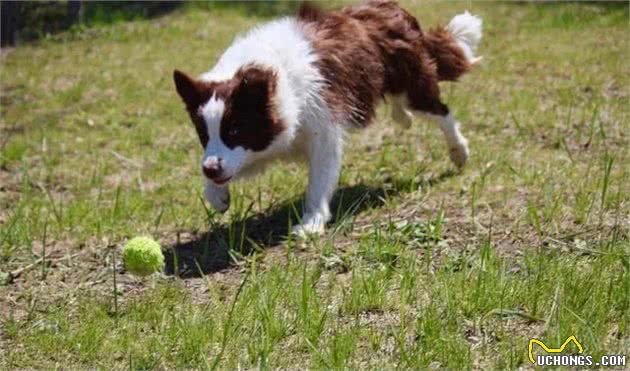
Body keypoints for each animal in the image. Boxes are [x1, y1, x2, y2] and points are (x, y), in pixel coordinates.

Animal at [173, 0, 484, 235]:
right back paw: (403, 119)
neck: (275, 80)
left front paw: (311, 223)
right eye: (203, 134)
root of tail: (394, 8)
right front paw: (217, 195)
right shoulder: (260, 144)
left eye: (235, 129)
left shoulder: (323, 130)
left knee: (442, 112)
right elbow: (224, 168)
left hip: (412, 84)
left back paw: (459, 151)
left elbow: (319, 182)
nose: (210, 169)